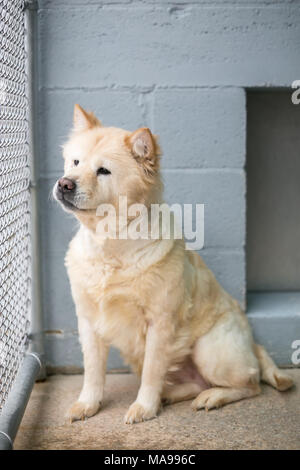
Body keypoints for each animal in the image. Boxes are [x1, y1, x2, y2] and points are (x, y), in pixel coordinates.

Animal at [53, 104, 292, 424]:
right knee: (194, 382)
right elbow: (93, 372)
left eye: (103, 171)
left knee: (250, 383)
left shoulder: (160, 323)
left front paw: (144, 407)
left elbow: (152, 373)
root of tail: (253, 342)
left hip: (208, 350)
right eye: (75, 162)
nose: (64, 183)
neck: (111, 242)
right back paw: (172, 395)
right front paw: (88, 404)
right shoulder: (89, 322)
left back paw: (212, 397)